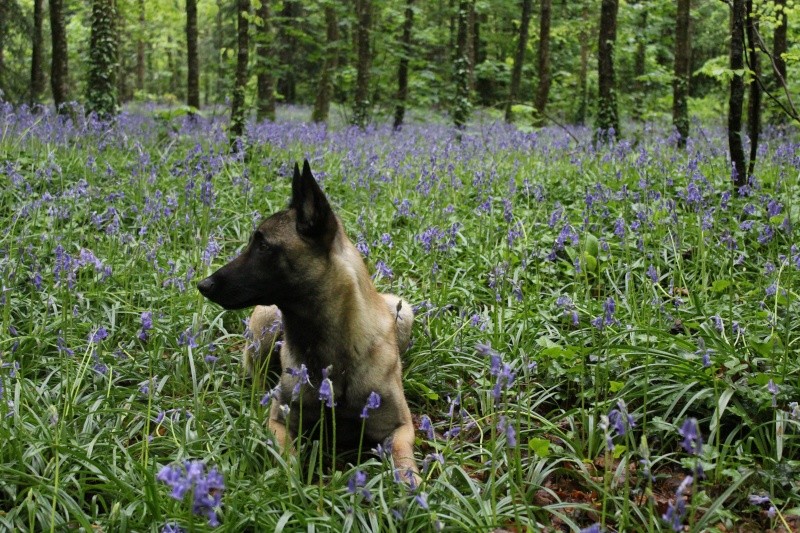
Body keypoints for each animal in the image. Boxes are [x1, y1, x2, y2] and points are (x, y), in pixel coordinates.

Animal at [198, 161, 418, 478]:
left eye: (263, 246)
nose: (203, 285)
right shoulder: (279, 422)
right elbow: (286, 462)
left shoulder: (399, 427)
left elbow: (405, 464)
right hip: (265, 327)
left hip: (404, 312)